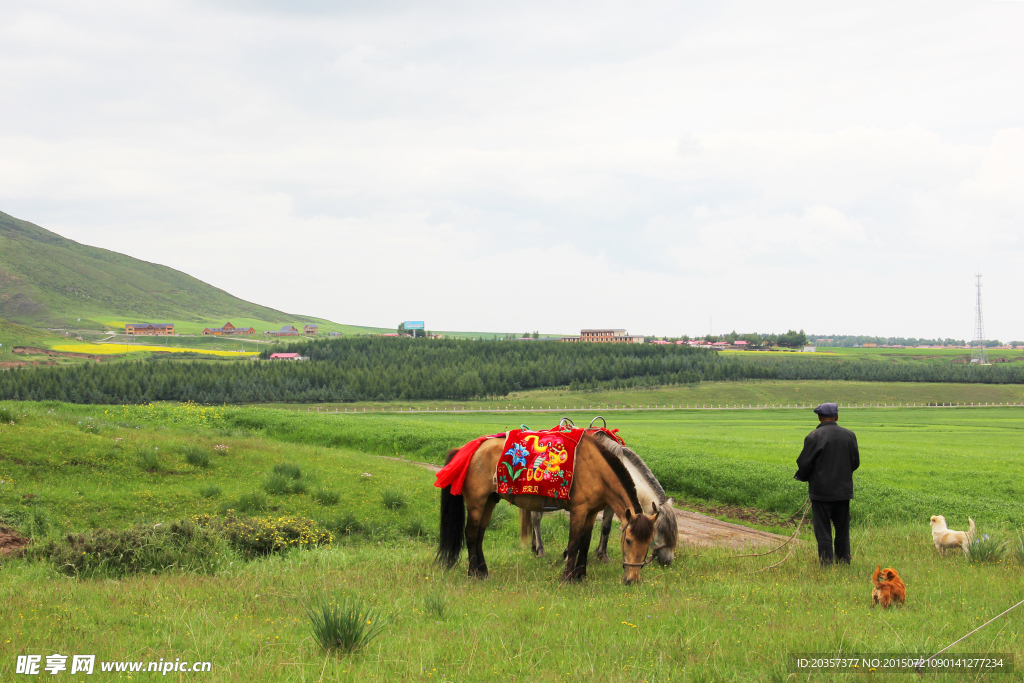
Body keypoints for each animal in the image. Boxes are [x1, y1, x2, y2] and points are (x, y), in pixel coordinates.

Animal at [436, 432, 659, 581]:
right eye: (628, 541)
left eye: (649, 544)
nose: (632, 579)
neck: (596, 469)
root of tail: (470, 449)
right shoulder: (579, 510)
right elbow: (574, 543)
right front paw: (568, 577)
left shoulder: (591, 512)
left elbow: (585, 543)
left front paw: (581, 575)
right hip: (476, 502)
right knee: (471, 534)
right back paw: (473, 572)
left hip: (489, 501)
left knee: (480, 535)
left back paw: (483, 571)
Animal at [520, 432, 679, 565]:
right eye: (660, 529)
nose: (668, 560)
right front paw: (567, 553)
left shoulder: (611, 505)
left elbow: (606, 527)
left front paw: (602, 554)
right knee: (536, 519)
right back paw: (540, 550)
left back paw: (534, 547)